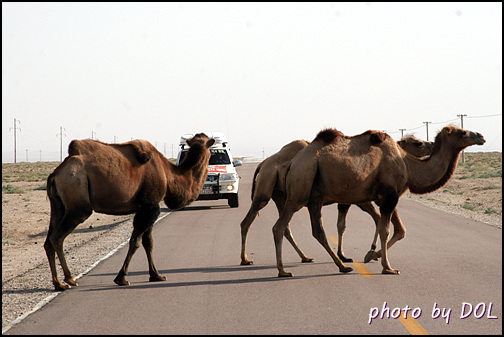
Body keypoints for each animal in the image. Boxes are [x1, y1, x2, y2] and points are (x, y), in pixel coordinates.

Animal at [44, 133, 215, 290]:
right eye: (211, 148)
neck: (168, 175)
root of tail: (56, 174)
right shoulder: (151, 207)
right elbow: (135, 242)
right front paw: (121, 278)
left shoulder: (145, 207)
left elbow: (148, 242)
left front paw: (156, 275)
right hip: (77, 200)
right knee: (57, 237)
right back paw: (69, 279)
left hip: (58, 205)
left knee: (48, 241)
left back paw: (58, 283)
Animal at [272, 126, 484, 276]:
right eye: (462, 132)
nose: (481, 136)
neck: (407, 164)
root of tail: (293, 162)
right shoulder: (389, 195)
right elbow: (386, 229)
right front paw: (387, 267)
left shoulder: (386, 196)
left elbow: (397, 229)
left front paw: (372, 255)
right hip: (300, 188)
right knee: (279, 227)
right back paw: (283, 271)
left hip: (315, 196)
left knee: (318, 231)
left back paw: (342, 266)